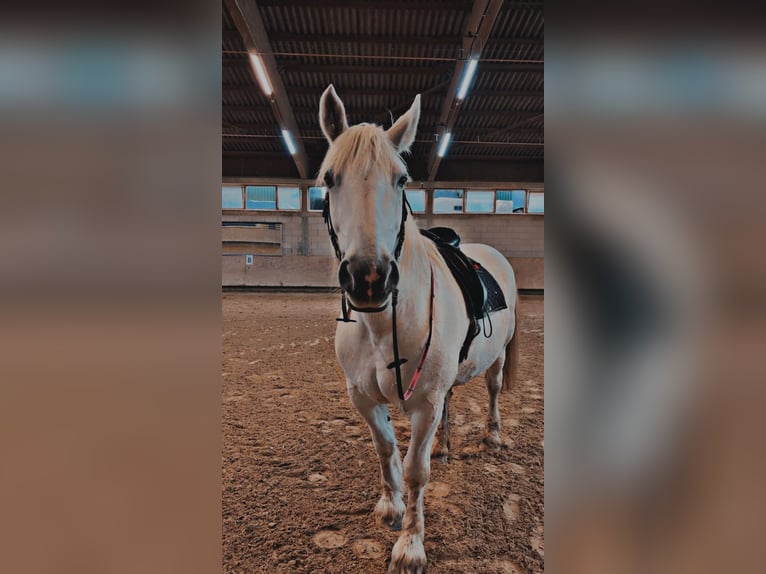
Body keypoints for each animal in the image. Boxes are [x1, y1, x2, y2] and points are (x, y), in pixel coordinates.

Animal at [317, 84, 520, 574]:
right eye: (329, 179)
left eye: (401, 179)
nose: (369, 278)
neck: (380, 326)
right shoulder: (363, 397)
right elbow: (386, 449)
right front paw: (390, 507)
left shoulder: (423, 403)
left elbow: (415, 469)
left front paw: (410, 546)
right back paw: (445, 445)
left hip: (498, 358)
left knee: (492, 391)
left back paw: (493, 435)